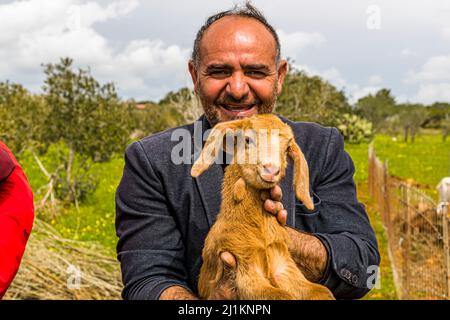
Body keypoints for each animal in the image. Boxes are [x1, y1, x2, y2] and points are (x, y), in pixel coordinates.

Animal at [190, 114, 334, 300]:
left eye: (287, 148)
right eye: (247, 139)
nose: (271, 170)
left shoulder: (284, 265)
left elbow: (322, 291)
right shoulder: (244, 268)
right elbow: (281, 296)